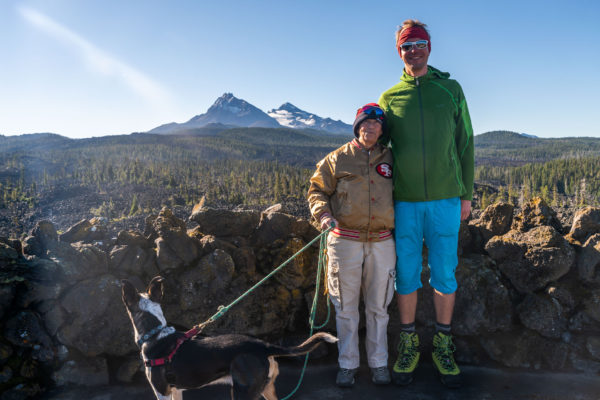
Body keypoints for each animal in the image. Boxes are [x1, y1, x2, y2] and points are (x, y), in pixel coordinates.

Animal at [122, 276, 338, 400]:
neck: (156, 333)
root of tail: (263, 345)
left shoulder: (163, 392)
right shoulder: (176, 391)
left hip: (242, 391)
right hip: (266, 389)